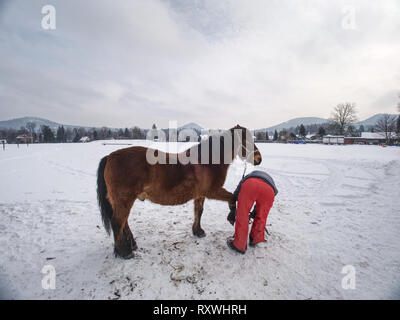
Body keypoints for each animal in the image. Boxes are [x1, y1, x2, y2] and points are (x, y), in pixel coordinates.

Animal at [97, 124, 262, 258]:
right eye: (247, 141)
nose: (259, 159)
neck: (207, 162)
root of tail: (110, 157)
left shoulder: (200, 194)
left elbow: (199, 212)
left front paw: (198, 231)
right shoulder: (213, 191)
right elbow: (233, 197)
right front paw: (231, 216)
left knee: (124, 222)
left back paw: (131, 244)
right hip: (124, 199)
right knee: (118, 222)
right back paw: (124, 252)